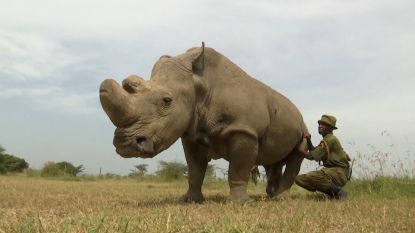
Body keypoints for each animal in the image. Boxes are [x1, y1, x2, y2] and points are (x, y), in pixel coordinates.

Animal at [100, 43, 308, 202]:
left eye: (167, 101)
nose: (125, 145)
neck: (200, 84)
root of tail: (298, 112)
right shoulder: (191, 132)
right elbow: (195, 169)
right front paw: (189, 200)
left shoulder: (244, 130)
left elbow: (238, 169)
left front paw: (239, 203)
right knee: (272, 161)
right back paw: (271, 196)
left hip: (303, 131)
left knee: (296, 154)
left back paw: (281, 199)